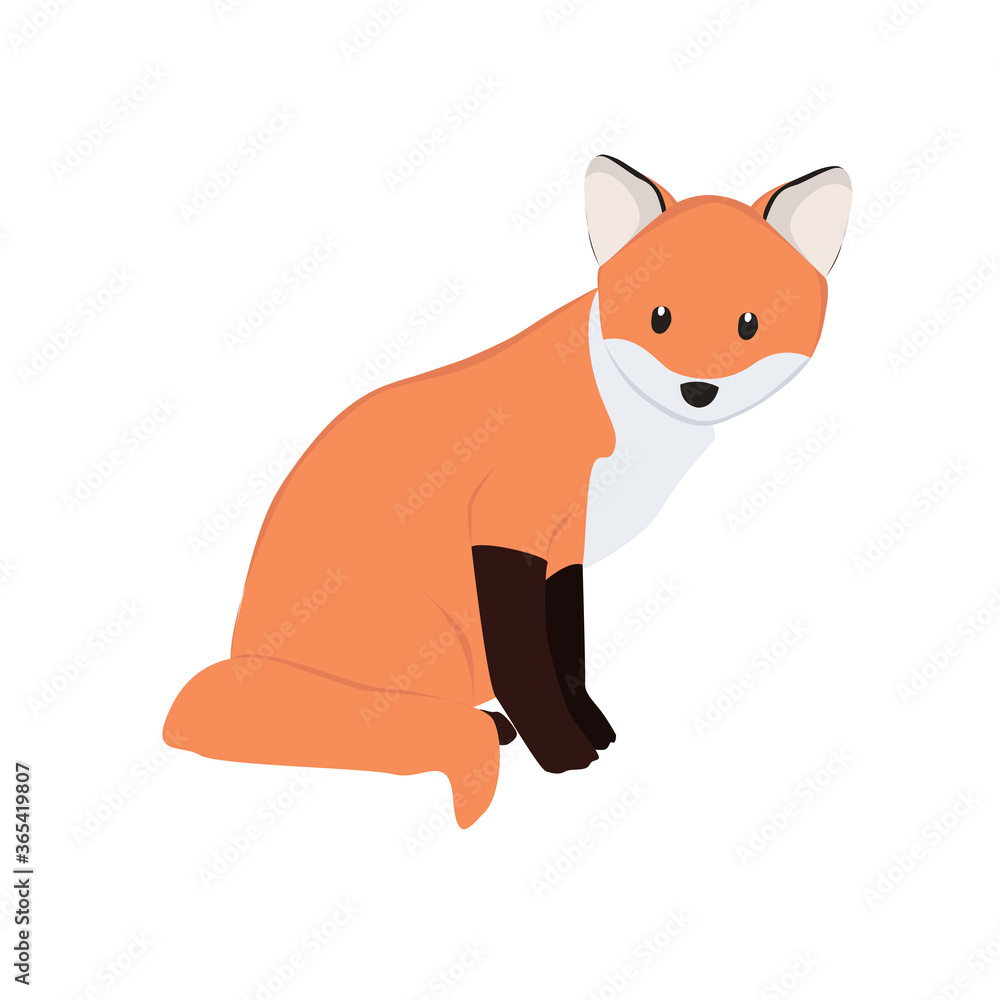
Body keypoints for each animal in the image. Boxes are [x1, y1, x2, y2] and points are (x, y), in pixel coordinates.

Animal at [164, 155, 852, 829]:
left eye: (749, 325)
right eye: (659, 318)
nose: (698, 390)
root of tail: (242, 661)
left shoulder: (566, 546)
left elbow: (566, 652)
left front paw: (591, 727)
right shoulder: (509, 523)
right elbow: (527, 662)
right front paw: (562, 751)